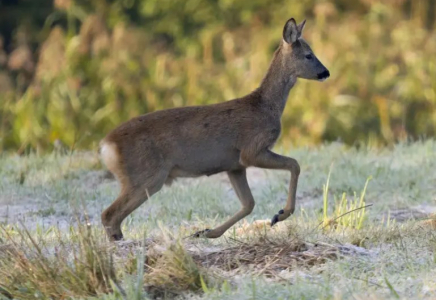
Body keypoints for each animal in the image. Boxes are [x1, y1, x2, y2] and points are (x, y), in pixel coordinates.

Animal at [99, 17, 330, 241]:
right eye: (309, 55)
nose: (325, 72)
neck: (265, 107)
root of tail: (107, 145)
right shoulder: (252, 149)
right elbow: (294, 164)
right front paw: (280, 214)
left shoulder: (234, 165)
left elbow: (248, 203)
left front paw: (207, 232)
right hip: (147, 175)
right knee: (109, 214)